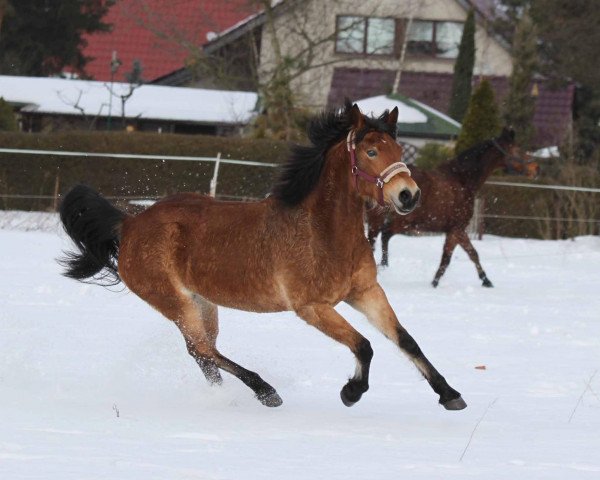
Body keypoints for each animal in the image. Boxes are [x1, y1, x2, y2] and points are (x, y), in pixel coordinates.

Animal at [57, 103, 468, 410]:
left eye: (398, 151)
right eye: (371, 151)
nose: (409, 196)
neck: (323, 231)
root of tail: (128, 224)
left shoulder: (365, 292)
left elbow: (406, 340)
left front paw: (450, 394)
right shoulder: (311, 307)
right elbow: (363, 345)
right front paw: (351, 392)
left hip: (202, 301)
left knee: (202, 352)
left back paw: (227, 396)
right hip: (174, 301)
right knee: (203, 348)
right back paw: (265, 391)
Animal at [366, 125, 540, 286]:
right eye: (518, 150)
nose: (536, 169)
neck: (462, 179)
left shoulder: (456, 230)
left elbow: (471, 253)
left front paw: (485, 280)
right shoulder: (457, 229)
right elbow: (448, 258)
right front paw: (435, 283)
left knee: (381, 236)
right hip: (404, 222)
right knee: (384, 235)